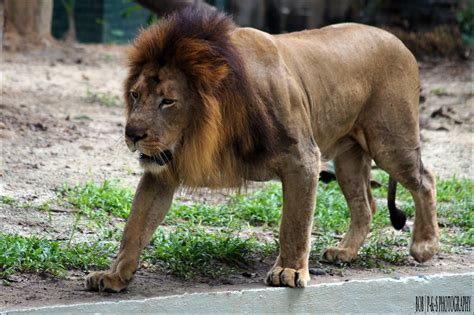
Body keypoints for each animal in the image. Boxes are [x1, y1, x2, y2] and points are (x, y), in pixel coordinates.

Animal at [86, 7, 440, 294]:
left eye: (168, 101)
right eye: (135, 95)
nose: (132, 134)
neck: (212, 128)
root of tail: (397, 40)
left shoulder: (303, 159)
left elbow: (294, 224)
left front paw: (289, 271)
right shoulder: (162, 172)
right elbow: (135, 226)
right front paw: (114, 275)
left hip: (390, 142)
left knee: (425, 180)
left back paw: (424, 245)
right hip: (349, 156)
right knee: (365, 204)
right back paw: (345, 253)